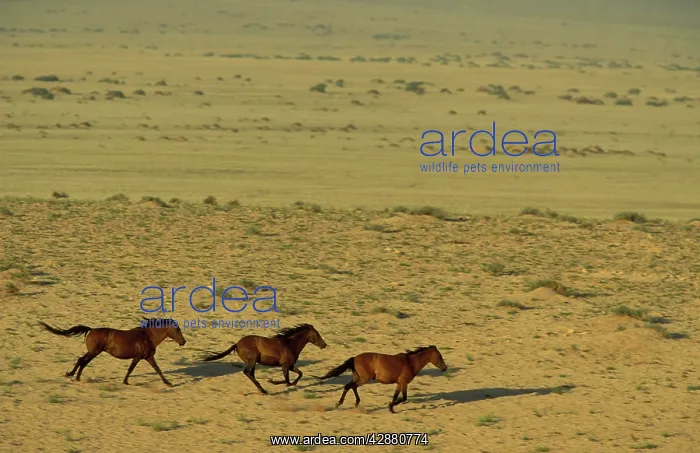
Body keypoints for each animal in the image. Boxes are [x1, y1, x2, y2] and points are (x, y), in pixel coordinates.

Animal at [38, 318, 186, 387]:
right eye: (177, 329)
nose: (183, 342)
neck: (148, 336)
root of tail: (91, 330)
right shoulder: (140, 357)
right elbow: (133, 369)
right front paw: (125, 382)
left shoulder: (147, 357)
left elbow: (156, 369)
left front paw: (167, 383)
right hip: (94, 352)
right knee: (82, 360)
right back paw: (74, 376)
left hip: (93, 352)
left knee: (82, 361)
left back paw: (75, 376)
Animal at [314, 345, 448, 413]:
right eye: (439, 356)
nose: (445, 368)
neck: (410, 362)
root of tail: (355, 358)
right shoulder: (404, 383)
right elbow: (404, 398)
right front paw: (391, 407)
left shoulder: (399, 383)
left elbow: (395, 396)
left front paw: (391, 408)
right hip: (364, 379)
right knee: (351, 386)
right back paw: (345, 403)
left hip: (358, 378)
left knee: (349, 386)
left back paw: (350, 403)